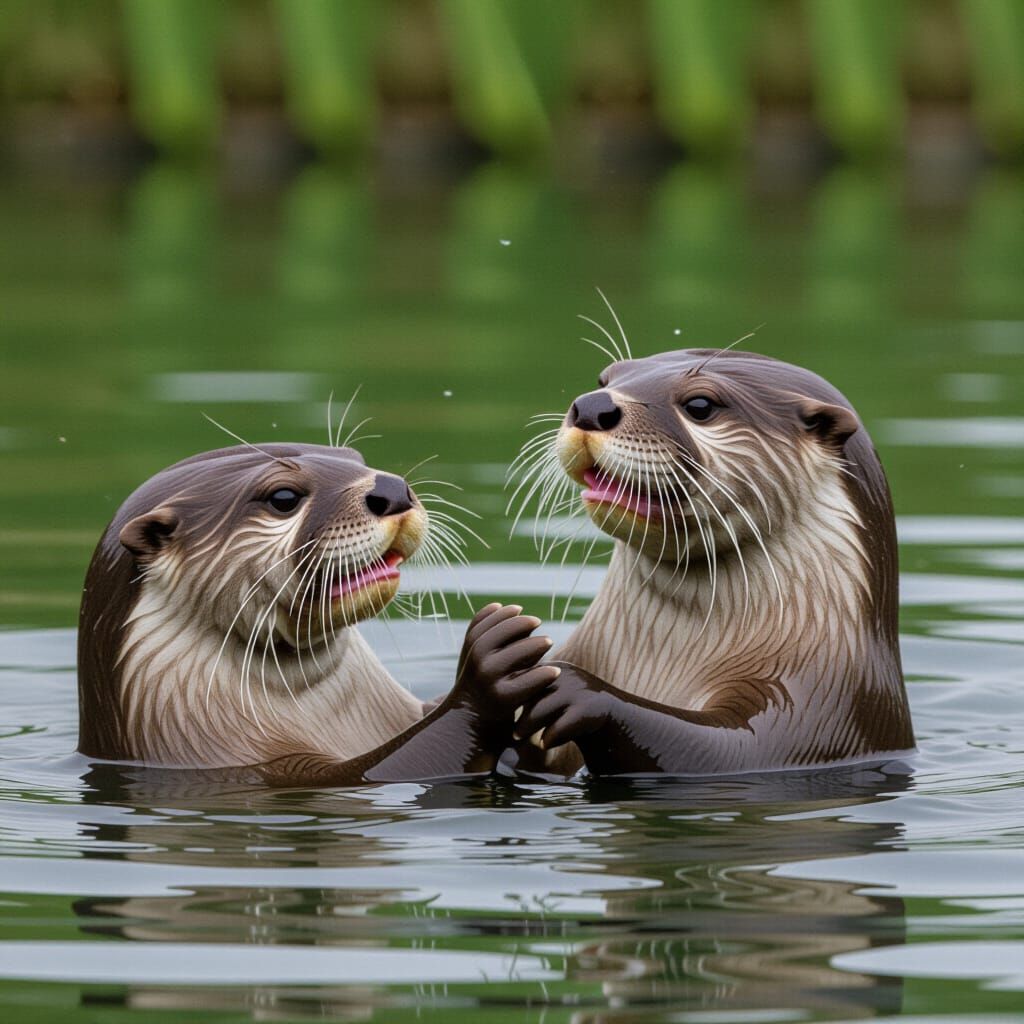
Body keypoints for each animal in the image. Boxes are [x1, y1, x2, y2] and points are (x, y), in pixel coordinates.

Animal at [511, 348, 914, 776]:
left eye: (700, 405)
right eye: (605, 380)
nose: (591, 406)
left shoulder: (815, 708)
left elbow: (719, 750)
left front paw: (579, 689)